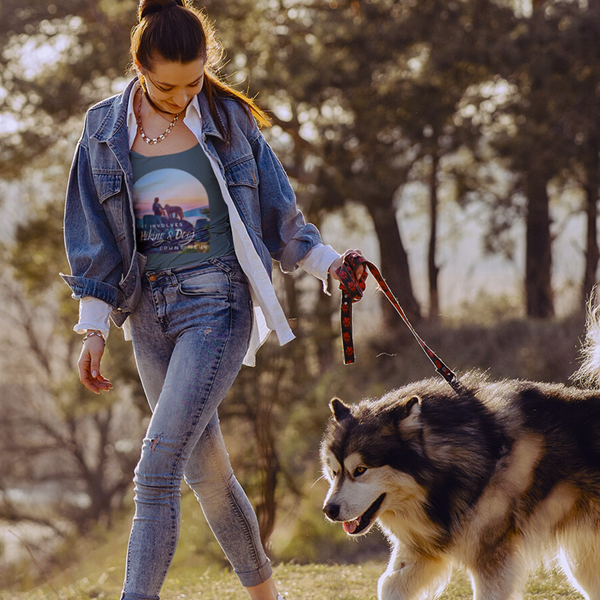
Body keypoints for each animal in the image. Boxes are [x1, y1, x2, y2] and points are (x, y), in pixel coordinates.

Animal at [324, 310, 600, 600]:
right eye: (334, 472)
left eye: (360, 470)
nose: (328, 510)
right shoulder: (422, 550)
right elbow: (387, 584)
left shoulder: (492, 561)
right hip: (581, 561)